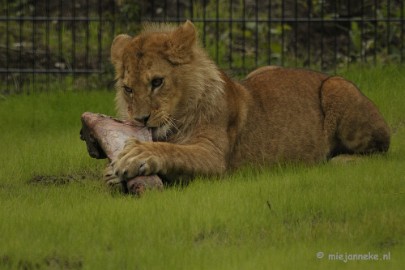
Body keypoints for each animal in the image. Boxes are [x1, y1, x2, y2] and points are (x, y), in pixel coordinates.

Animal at [108, 21, 388, 185]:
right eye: (128, 89)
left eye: (157, 82)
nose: (140, 119)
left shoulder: (214, 156)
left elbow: (172, 150)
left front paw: (137, 154)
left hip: (337, 87)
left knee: (382, 151)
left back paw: (340, 161)